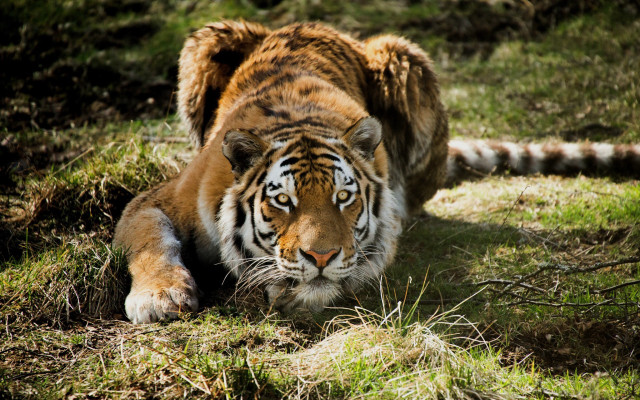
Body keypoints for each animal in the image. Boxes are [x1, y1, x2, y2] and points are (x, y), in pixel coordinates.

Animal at [114, 21, 640, 324]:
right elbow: (152, 241)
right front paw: (160, 297)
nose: (321, 257)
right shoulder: (156, 200)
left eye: (343, 198)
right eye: (282, 201)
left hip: (404, 58)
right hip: (208, 38)